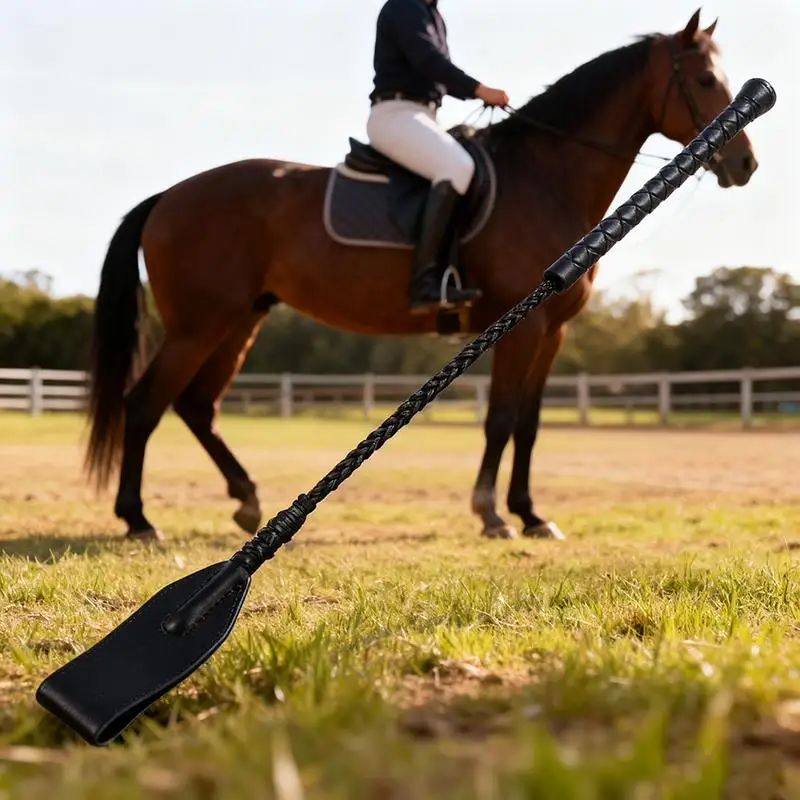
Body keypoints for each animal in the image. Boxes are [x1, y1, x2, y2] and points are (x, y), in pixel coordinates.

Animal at [82, 10, 760, 542]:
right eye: (705, 80)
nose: (746, 165)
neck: (545, 176)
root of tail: (169, 195)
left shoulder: (554, 331)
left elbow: (530, 425)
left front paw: (531, 514)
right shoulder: (523, 325)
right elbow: (501, 419)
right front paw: (492, 514)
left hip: (238, 321)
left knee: (197, 406)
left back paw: (246, 501)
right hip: (199, 325)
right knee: (145, 404)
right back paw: (139, 520)